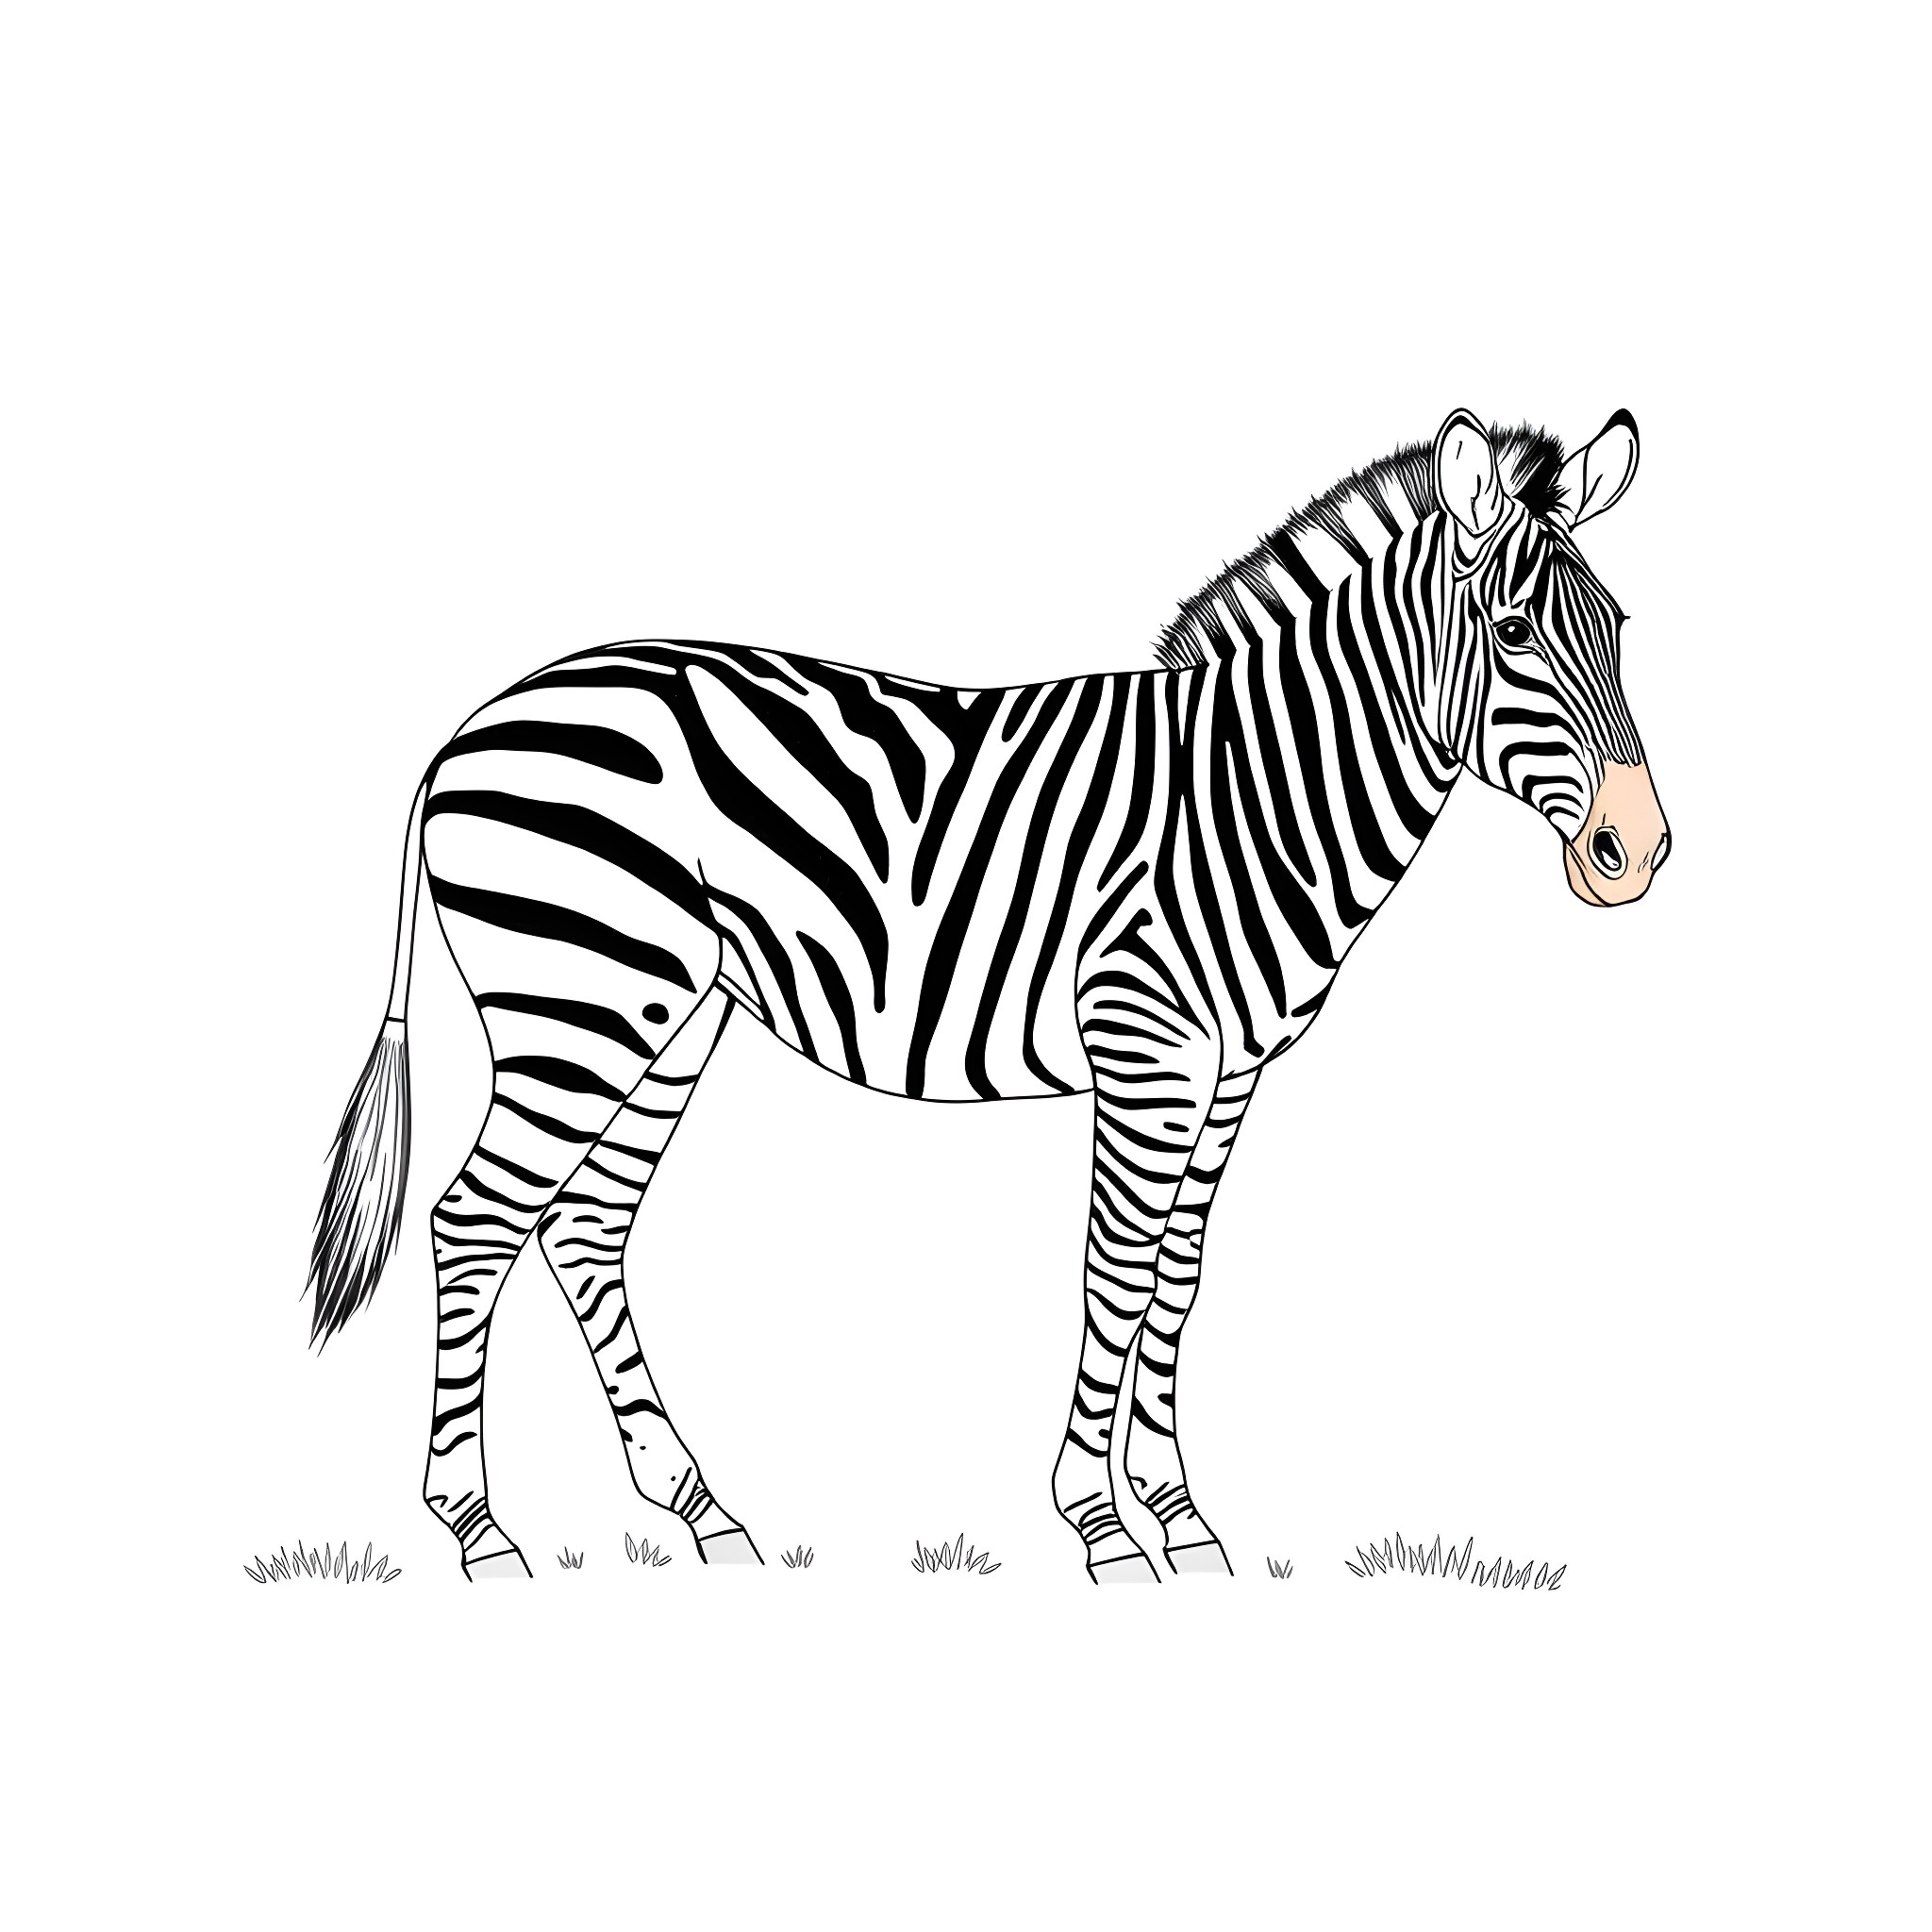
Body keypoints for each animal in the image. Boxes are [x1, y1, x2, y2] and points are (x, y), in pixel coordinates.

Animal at [308, 407, 1668, 1583]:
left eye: (1618, 626)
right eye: (1512, 633)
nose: (1637, 852)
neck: (1252, 791)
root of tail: (468, 729)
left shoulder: (1229, 1074)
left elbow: (1178, 1281)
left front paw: (1182, 1519)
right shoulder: (1142, 1045)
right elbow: (1115, 1277)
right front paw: (1103, 1528)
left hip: (668, 1015)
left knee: (585, 1227)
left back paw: (701, 1510)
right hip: (581, 1002)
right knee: (472, 1221)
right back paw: (479, 1528)